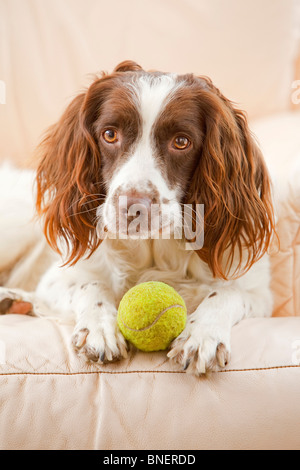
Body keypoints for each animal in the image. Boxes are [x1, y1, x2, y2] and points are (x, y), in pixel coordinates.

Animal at [0, 60, 276, 374]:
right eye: (109, 134)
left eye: (181, 141)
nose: (132, 208)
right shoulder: (58, 278)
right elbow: (90, 284)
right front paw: (100, 327)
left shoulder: (258, 293)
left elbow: (227, 294)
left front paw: (203, 335)